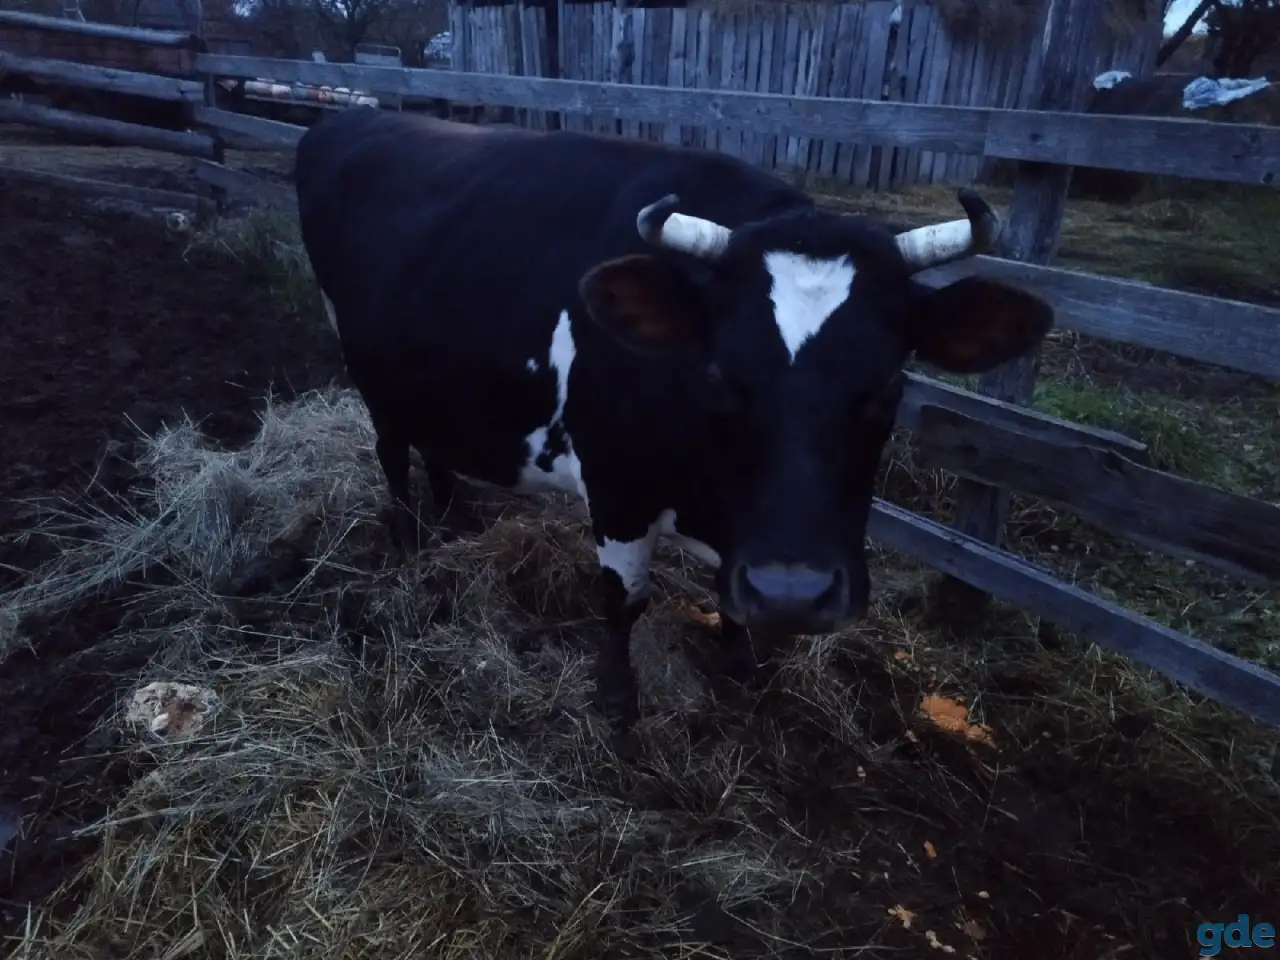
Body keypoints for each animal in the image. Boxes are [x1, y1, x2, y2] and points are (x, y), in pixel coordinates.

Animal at [294, 107, 1054, 734]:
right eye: (717, 374)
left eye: (890, 381)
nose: (795, 595)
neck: (706, 493)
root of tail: (344, 120)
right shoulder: (617, 489)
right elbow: (623, 599)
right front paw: (616, 701)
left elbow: (732, 607)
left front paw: (742, 667)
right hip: (362, 362)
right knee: (391, 452)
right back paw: (408, 540)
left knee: (431, 442)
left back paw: (453, 518)